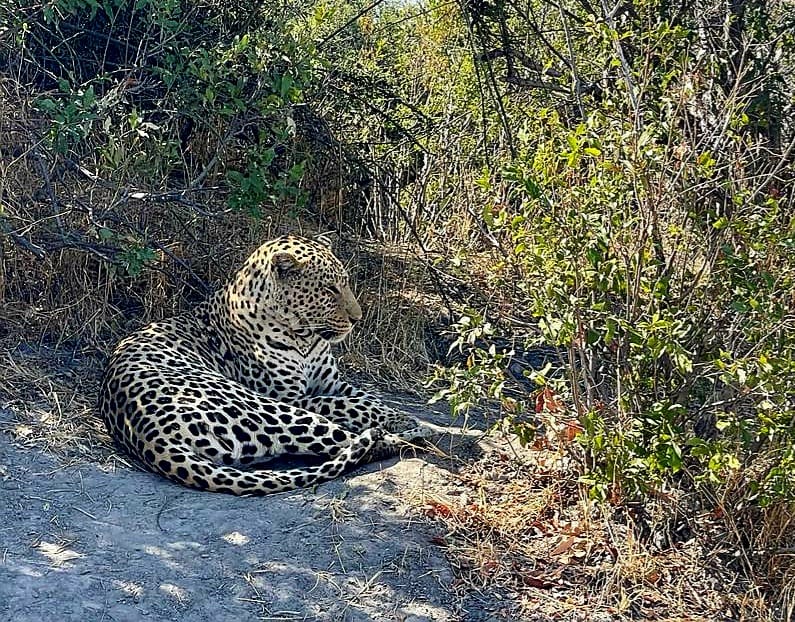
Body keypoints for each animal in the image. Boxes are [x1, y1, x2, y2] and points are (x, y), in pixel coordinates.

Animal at [98, 234, 432, 495]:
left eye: (346, 283)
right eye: (328, 290)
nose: (357, 319)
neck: (304, 336)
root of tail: (149, 435)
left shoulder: (332, 382)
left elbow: (367, 399)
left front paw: (399, 416)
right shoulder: (294, 396)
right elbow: (352, 406)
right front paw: (407, 420)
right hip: (266, 406)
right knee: (347, 440)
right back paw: (412, 436)